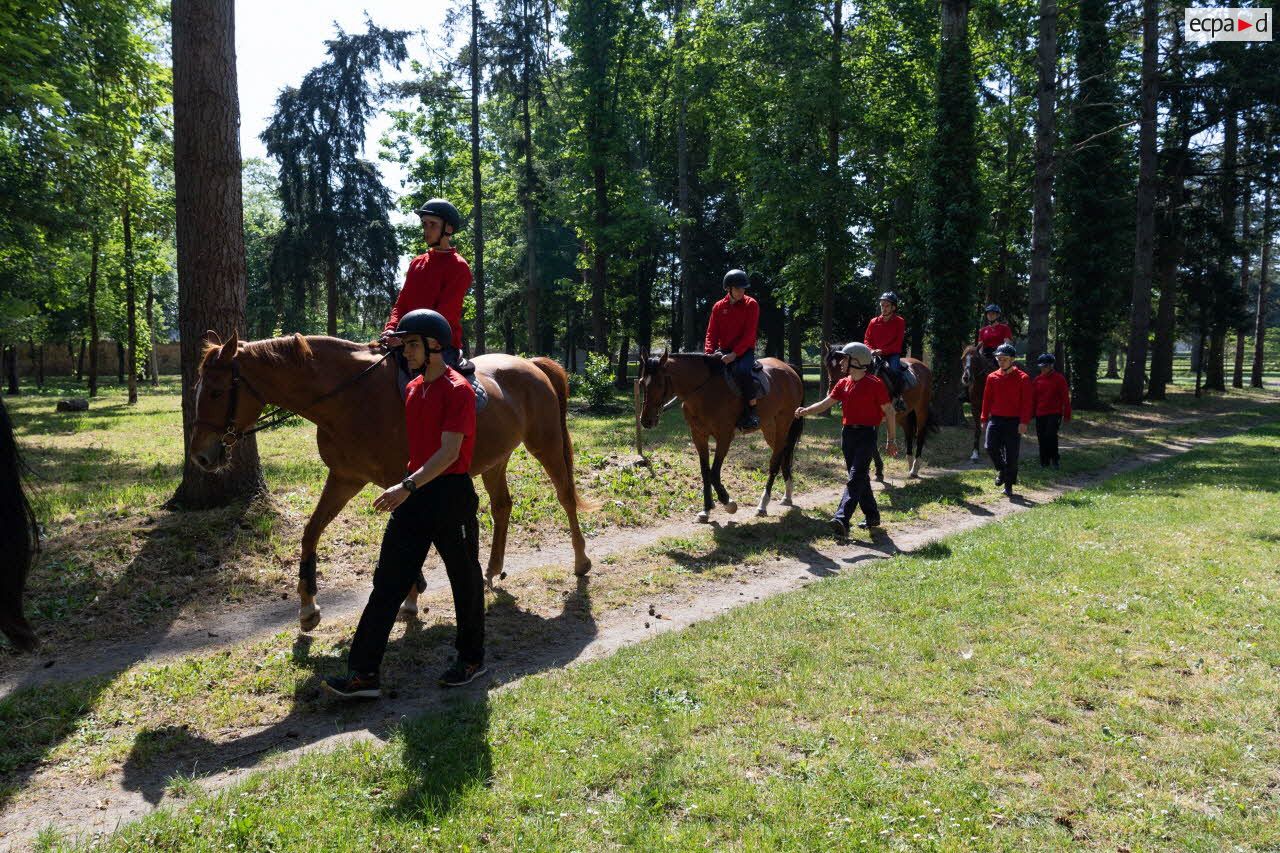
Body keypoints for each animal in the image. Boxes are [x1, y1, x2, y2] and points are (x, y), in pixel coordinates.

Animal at [188, 327, 588, 627]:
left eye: (217, 391)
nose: (201, 456)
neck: (351, 399)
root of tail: (530, 364)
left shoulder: (403, 482)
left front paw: (410, 598)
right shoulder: (345, 478)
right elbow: (311, 531)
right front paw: (307, 607)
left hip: (546, 444)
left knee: (566, 496)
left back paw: (581, 562)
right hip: (495, 460)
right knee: (502, 507)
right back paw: (492, 570)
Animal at [637, 350, 803, 517]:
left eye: (659, 383)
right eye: (642, 383)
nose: (646, 420)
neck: (704, 391)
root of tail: (789, 369)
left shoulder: (724, 436)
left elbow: (714, 473)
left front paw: (728, 502)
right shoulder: (698, 435)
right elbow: (705, 472)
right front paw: (706, 508)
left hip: (782, 424)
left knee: (775, 462)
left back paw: (763, 504)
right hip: (769, 428)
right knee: (783, 455)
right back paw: (787, 495)